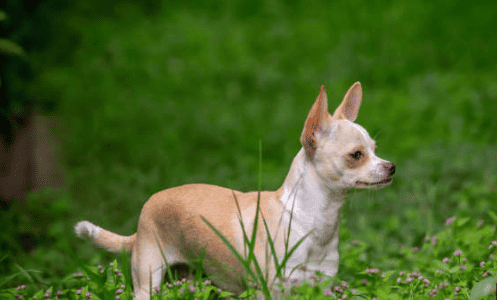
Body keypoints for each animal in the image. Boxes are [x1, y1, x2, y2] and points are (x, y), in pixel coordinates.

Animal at [74, 82, 396, 300]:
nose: (391, 167)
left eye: (375, 149)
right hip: (147, 282)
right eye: (356, 155)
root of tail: (147, 209)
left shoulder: (321, 288)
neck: (313, 220)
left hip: (188, 280)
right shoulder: (270, 291)